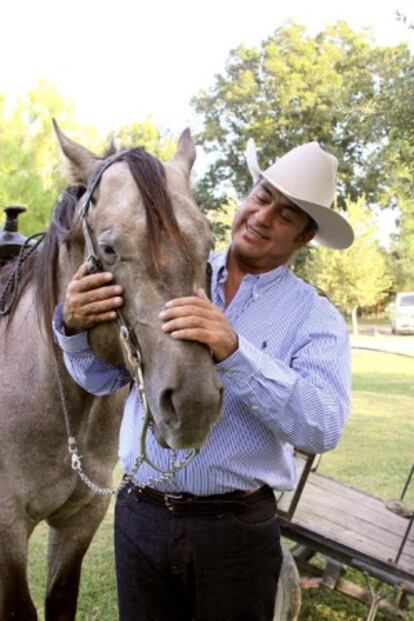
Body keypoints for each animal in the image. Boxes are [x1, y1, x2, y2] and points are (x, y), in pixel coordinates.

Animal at [0, 124, 223, 620]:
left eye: (208, 246)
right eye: (108, 249)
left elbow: (61, 597)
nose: (195, 404)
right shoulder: (6, 526)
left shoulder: (82, 517)